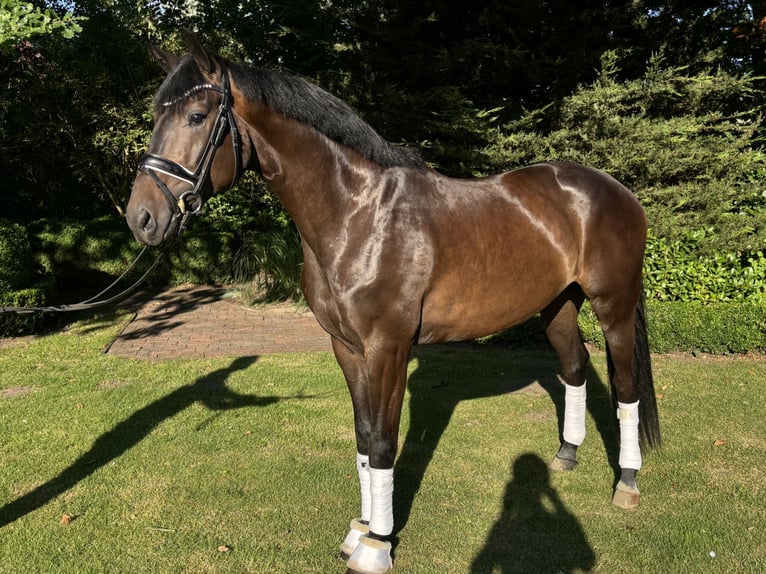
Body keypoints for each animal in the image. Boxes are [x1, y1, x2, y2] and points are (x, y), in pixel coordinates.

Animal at [124, 32, 660, 574]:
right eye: (156, 116)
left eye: (196, 116)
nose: (141, 218)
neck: (359, 214)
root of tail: (617, 191)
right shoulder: (348, 348)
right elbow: (364, 438)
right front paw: (359, 529)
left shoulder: (388, 349)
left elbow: (383, 443)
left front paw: (377, 544)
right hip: (558, 306)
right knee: (574, 367)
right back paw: (567, 455)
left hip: (613, 307)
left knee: (626, 387)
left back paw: (627, 483)